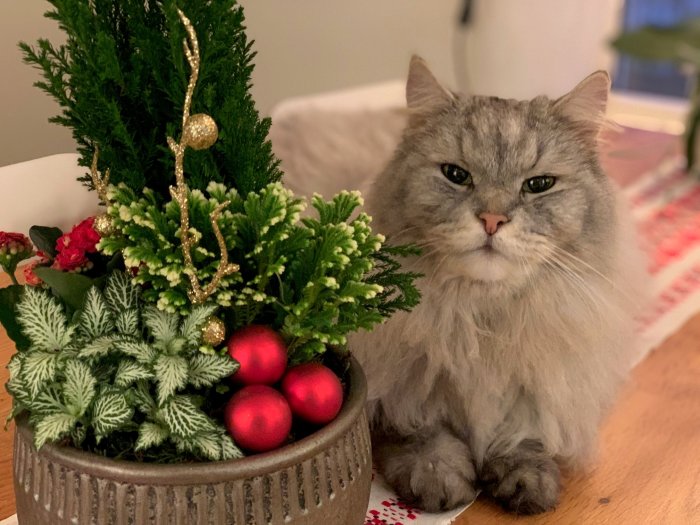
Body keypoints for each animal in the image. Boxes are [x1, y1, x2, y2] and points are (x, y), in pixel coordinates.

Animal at [350, 56, 644, 512]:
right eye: (456, 175)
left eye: (538, 185)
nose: (491, 220)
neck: (481, 326)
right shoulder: (396, 389)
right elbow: (421, 431)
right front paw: (439, 478)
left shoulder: (534, 391)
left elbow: (524, 434)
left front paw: (526, 480)